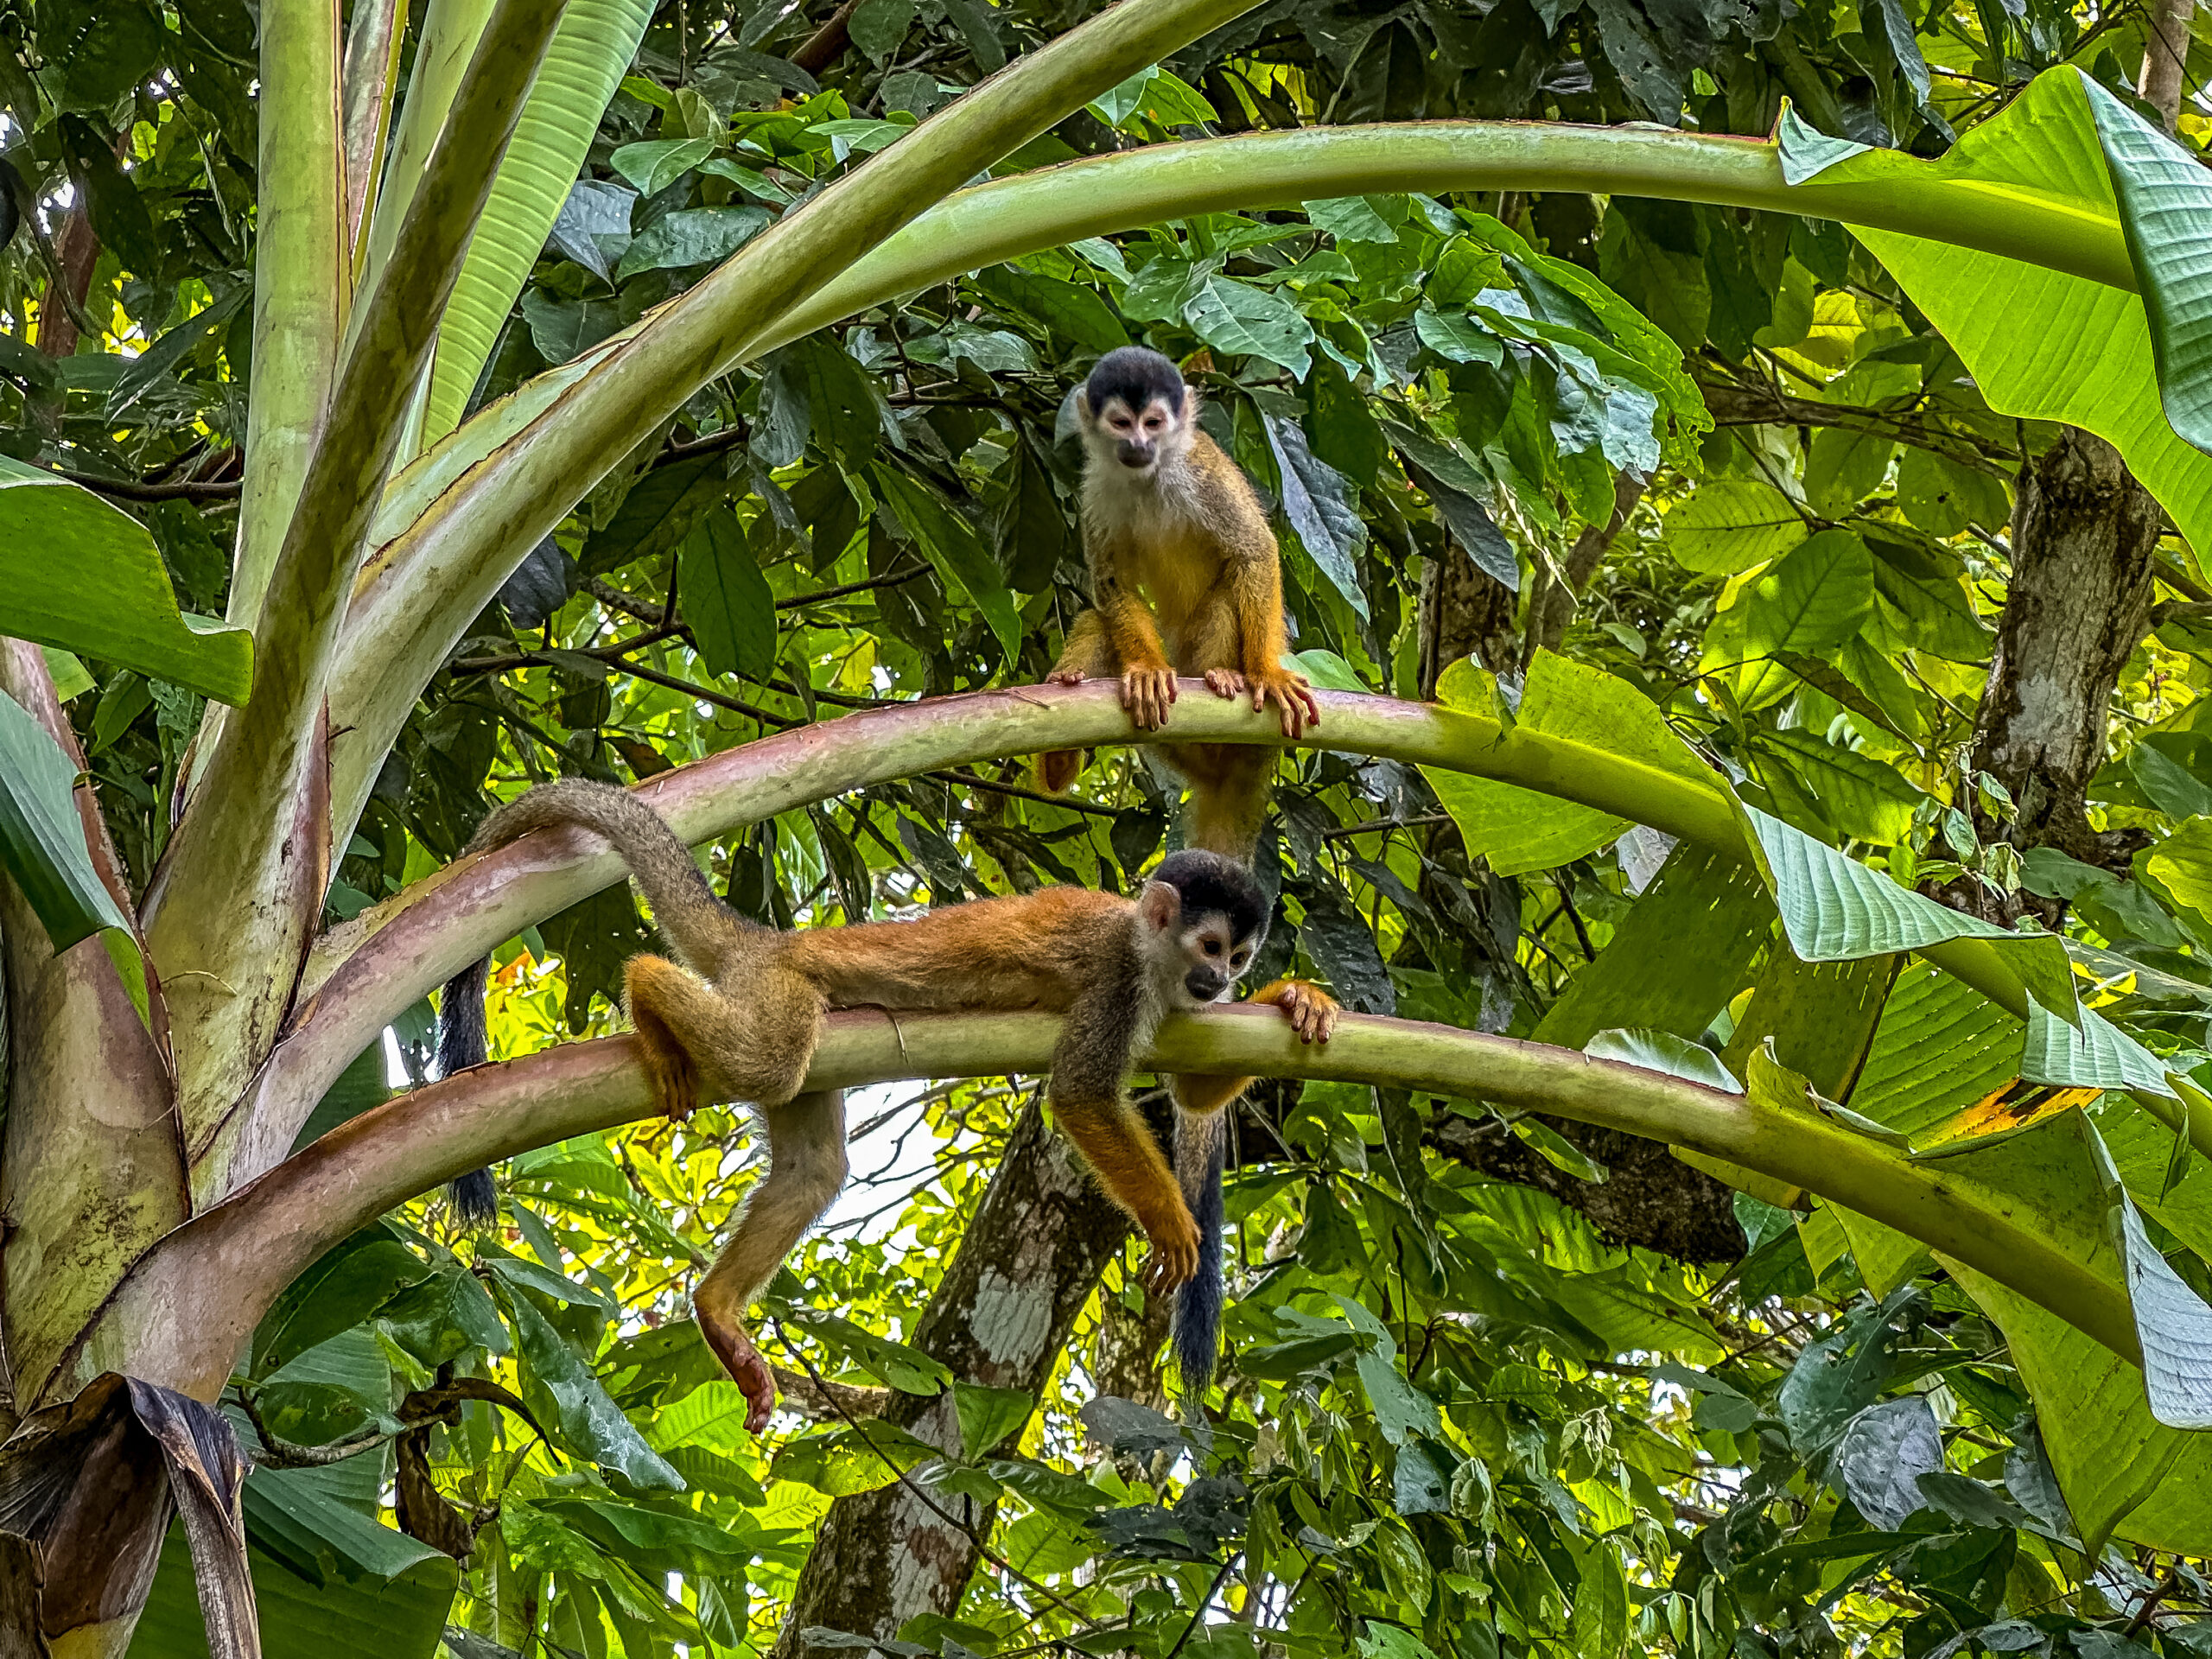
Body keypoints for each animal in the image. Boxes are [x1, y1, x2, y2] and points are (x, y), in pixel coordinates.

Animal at [435, 778, 1337, 1429]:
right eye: (1210, 946)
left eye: (1239, 957)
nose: (1221, 981)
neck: (1153, 957)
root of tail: (771, 940)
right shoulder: (1118, 980)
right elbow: (1079, 1095)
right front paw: (1172, 1221)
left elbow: (1192, 1090)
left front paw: (1296, 1001)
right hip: (777, 992)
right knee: (765, 1063)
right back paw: (647, 988)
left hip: (806, 1031)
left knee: (813, 1162)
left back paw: (719, 1311)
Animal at [1039, 347, 1324, 860]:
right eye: (1122, 423)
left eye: (1153, 423)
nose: (1137, 444)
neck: (1149, 475)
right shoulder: (1095, 487)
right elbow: (1111, 584)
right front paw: (1148, 671)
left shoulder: (1199, 469)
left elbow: (1253, 550)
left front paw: (1268, 674)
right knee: (1098, 618)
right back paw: (1060, 742)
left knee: (1229, 592)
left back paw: (1226, 676)